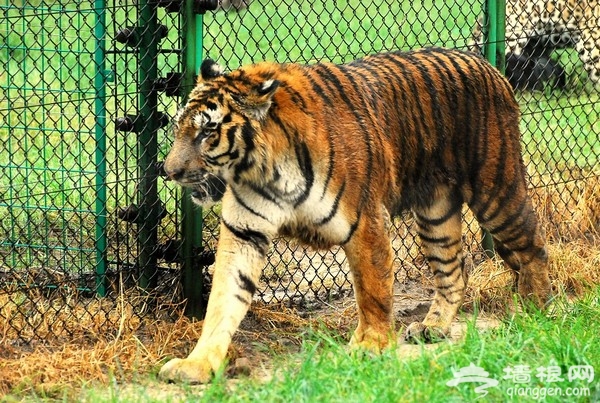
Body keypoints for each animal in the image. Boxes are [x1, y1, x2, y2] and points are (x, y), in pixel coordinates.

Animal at [158, 47, 548, 386]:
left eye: (207, 132)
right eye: (179, 128)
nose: (169, 171)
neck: (263, 169)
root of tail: (487, 64)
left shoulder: (365, 221)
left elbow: (372, 290)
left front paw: (370, 344)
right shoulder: (244, 232)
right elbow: (224, 300)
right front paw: (197, 364)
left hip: (496, 191)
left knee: (534, 246)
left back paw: (535, 308)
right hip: (436, 213)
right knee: (454, 270)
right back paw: (432, 327)